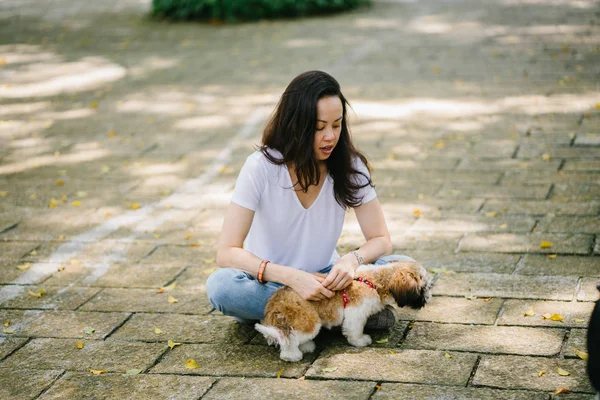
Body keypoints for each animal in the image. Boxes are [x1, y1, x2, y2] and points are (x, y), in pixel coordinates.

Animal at [253, 260, 432, 362]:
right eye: (423, 288)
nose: (429, 297)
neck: (374, 282)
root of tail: (275, 304)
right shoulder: (356, 313)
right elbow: (355, 330)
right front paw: (360, 341)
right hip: (308, 320)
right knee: (288, 337)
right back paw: (291, 355)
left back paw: (306, 346)